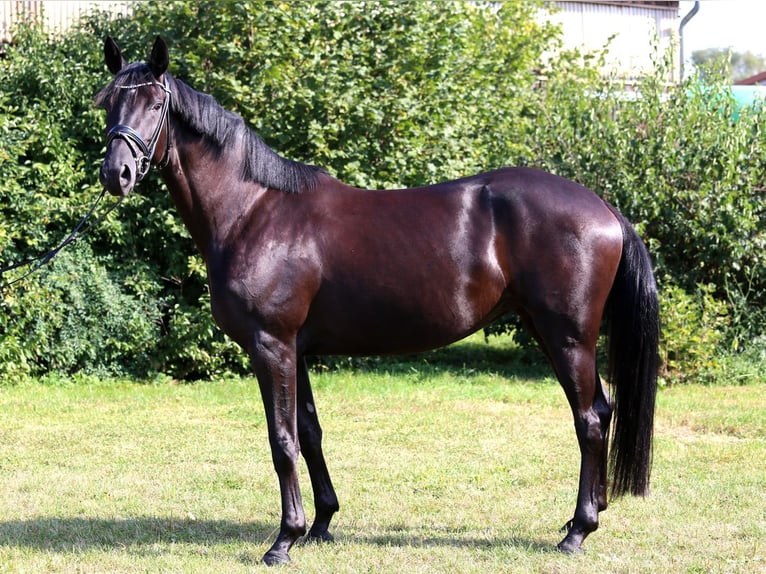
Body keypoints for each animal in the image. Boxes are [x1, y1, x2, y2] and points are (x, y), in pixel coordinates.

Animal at [96, 37, 660, 568]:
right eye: (109, 104)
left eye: (155, 103)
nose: (115, 174)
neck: (253, 211)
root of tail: (603, 207)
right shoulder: (296, 350)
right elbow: (309, 432)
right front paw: (321, 524)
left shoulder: (270, 345)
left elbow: (282, 441)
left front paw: (284, 539)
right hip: (552, 333)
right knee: (602, 410)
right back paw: (588, 513)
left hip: (567, 337)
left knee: (588, 421)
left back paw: (577, 531)